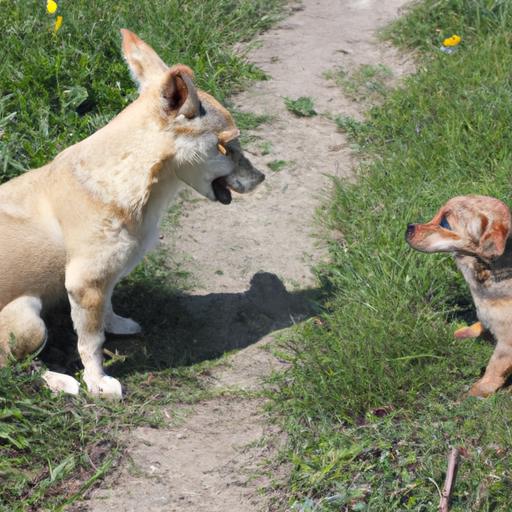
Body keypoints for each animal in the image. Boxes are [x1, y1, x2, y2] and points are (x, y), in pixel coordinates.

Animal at [0, 30, 264, 398]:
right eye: (228, 145)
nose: (262, 177)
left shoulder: (106, 277)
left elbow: (105, 311)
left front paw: (117, 325)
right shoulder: (85, 284)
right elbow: (90, 342)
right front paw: (97, 382)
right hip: (28, 320)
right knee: (12, 369)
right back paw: (61, 381)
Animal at [404, 194, 512, 398]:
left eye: (445, 223)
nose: (408, 226)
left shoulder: (506, 344)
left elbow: (493, 370)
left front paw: (477, 392)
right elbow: (480, 325)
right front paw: (463, 332)